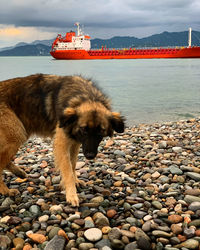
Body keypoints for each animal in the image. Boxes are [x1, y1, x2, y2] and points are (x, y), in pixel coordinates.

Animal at [0, 73, 125, 205]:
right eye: (84, 129)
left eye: (101, 131)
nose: (90, 156)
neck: (85, 97)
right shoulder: (62, 144)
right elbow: (68, 170)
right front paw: (71, 194)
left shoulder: (75, 143)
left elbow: (73, 164)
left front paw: (75, 181)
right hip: (16, 134)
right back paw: (5, 190)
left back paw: (19, 172)